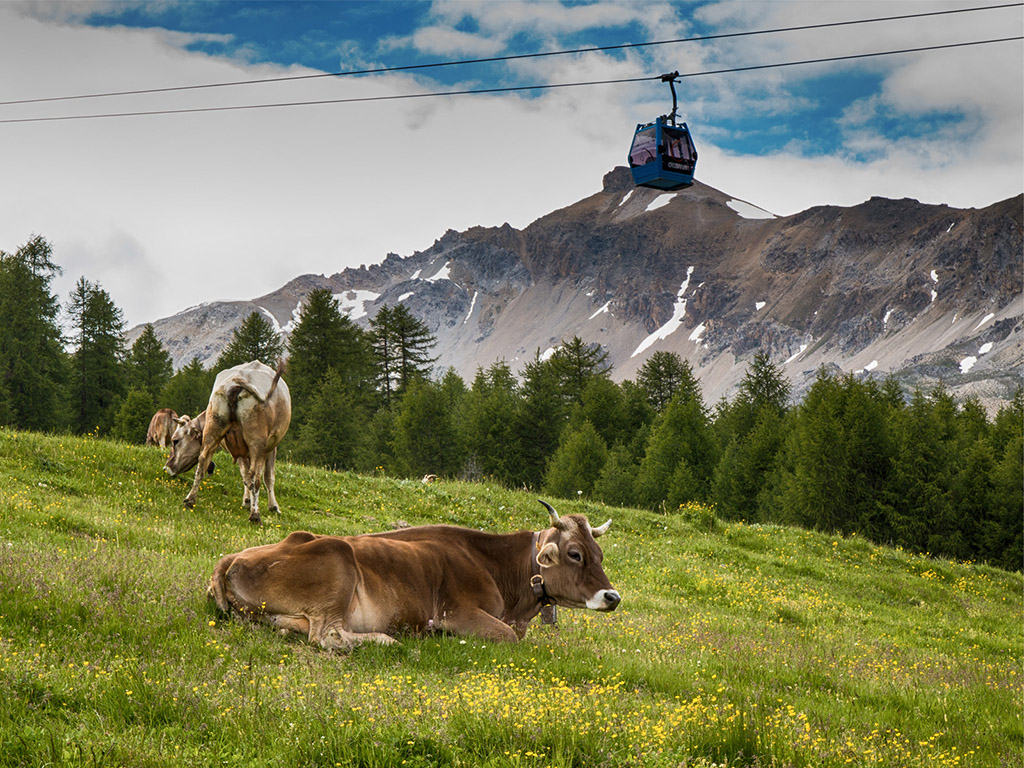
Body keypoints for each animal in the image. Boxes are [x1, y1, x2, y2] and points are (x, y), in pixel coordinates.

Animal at [176, 360, 292, 524]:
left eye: (176, 441)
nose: (168, 467)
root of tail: (236, 385)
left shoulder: (240, 450)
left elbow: (245, 476)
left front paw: (246, 501)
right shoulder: (271, 446)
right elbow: (267, 477)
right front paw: (273, 506)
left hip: (214, 428)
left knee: (202, 461)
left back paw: (190, 500)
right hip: (257, 441)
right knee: (256, 475)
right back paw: (255, 515)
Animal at [207, 499, 614, 651]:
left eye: (599, 554)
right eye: (575, 554)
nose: (613, 597)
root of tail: (231, 557)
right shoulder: (458, 611)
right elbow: (506, 637)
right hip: (337, 561)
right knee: (328, 636)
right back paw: (386, 640)